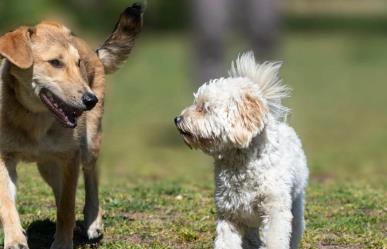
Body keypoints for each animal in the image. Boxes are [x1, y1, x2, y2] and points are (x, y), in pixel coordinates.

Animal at [0, 3, 143, 249]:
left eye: (78, 64)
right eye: (55, 62)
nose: (91, 99)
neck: (34, 118)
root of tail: (94, 51)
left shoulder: (70, 157)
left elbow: (67, 208)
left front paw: (63, 242)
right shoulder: (3, 158)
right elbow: (7, 204)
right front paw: (15, 240)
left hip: (89, 145)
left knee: (91, 177)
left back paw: (93, 221)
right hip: (48, 166)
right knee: (62, 190)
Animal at [176, 51, 310, 248]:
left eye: (204, 108)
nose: (177, 119)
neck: (241, 161)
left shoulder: (275, 210)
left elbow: (275, 240)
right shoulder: (229, 212)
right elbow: (226, 242)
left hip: (296, 201)